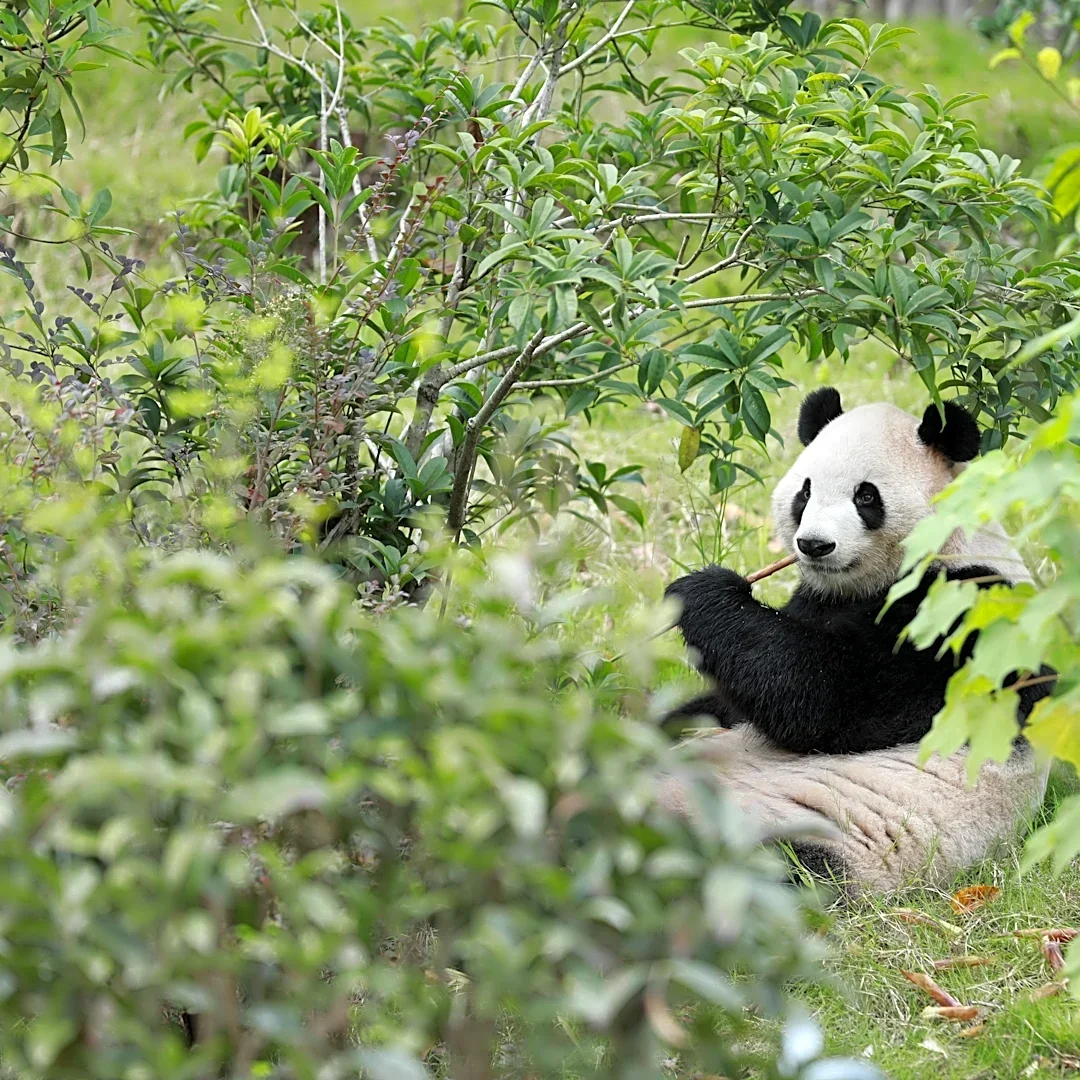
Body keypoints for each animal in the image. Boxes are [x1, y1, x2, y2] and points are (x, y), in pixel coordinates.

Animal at [664, 387, 1052, 755]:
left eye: (866, 496)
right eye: (805, 492)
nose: (814, 545)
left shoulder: (959, 613)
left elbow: (826, 694)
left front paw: (704, 592)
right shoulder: (815, 599)